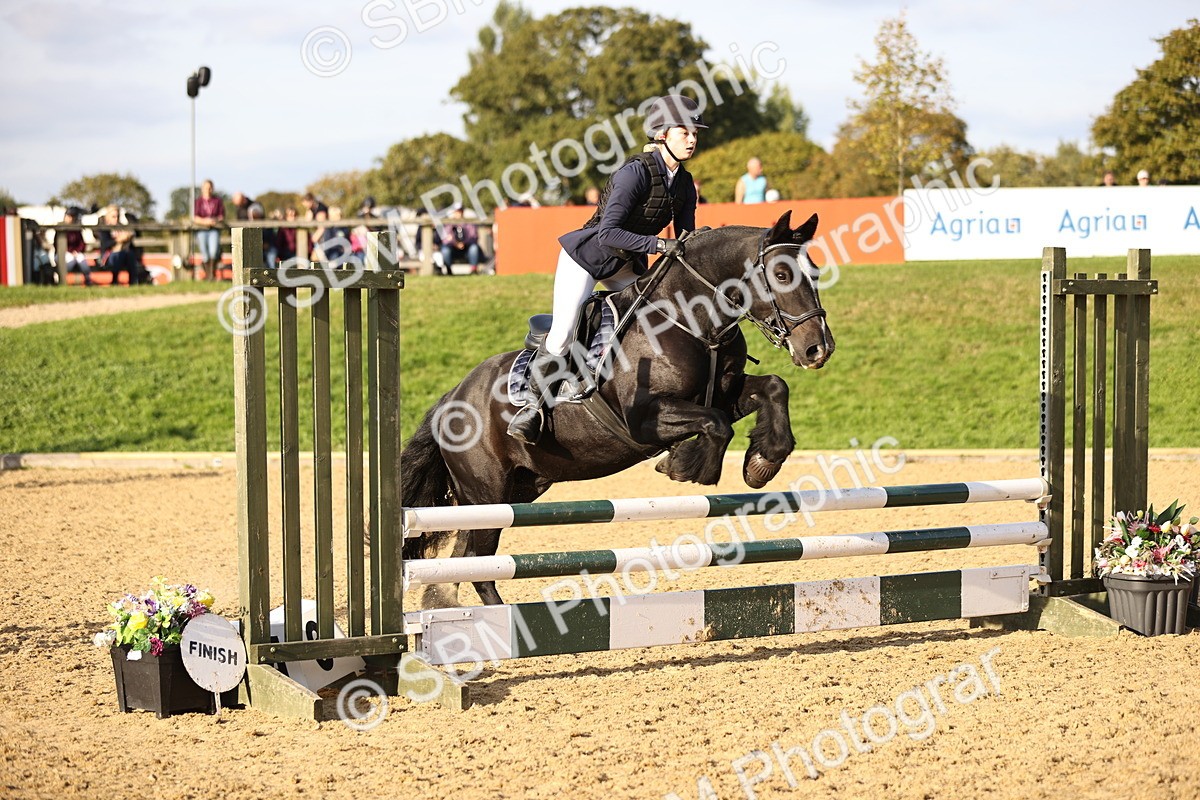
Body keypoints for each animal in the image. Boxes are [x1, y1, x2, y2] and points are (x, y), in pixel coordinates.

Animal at [401, 210, 835, 608]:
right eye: (782, 274)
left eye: (813, 271)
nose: (818, 349)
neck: (691, 318)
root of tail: (450, 399)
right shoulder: (644, 419)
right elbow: (716, 425)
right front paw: (686, 465)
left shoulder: (725, 393)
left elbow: (773, 388)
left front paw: (763, 462)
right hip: (487, 493)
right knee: (480, 563)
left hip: (519, 489)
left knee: (465, 559)